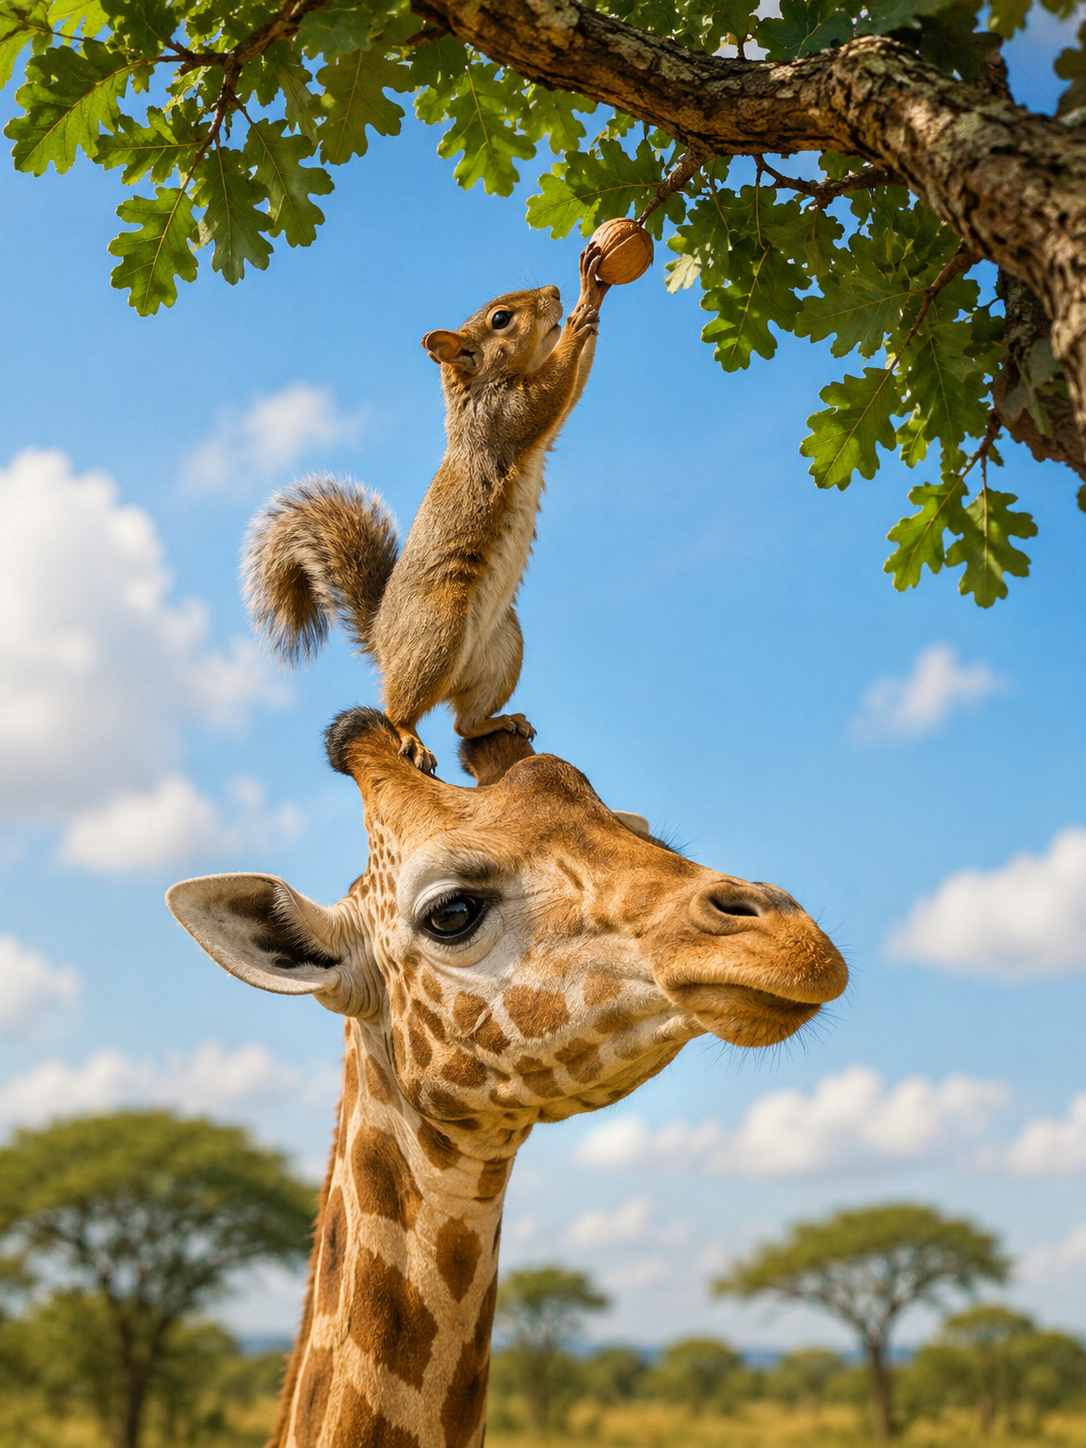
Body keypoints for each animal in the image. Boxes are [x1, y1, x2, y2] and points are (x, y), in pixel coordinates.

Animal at [244, 242, 610, 774]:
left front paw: (595, 295)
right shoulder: (503, 418)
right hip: (437, 631)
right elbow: (553, 390)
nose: (555, 292)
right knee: (401, 709)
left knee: (464, 722)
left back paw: (498, 721)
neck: (479, 389)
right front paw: (583, 310)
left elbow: (573, 390)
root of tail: (383, 641)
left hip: (503, 648)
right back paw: (410, 739)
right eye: (501, 319)